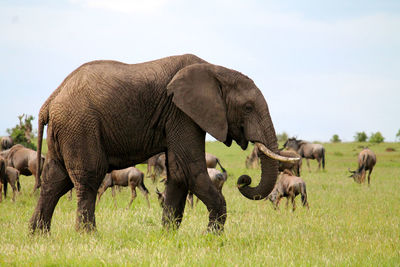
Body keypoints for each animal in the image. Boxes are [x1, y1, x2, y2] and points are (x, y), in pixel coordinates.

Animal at [31, 54, 298, 234]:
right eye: (248, 107)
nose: (244, 179)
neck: (215, 70)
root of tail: (50, 100)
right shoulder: (182, 113)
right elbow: (190, 171)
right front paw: (212, 237)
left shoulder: (180, 115)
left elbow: (178, 174)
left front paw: (168, 235)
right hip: (80, 125)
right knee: (87, 178)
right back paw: (89, 237)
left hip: (66, 129)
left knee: (54, 180)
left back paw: (39, 236)